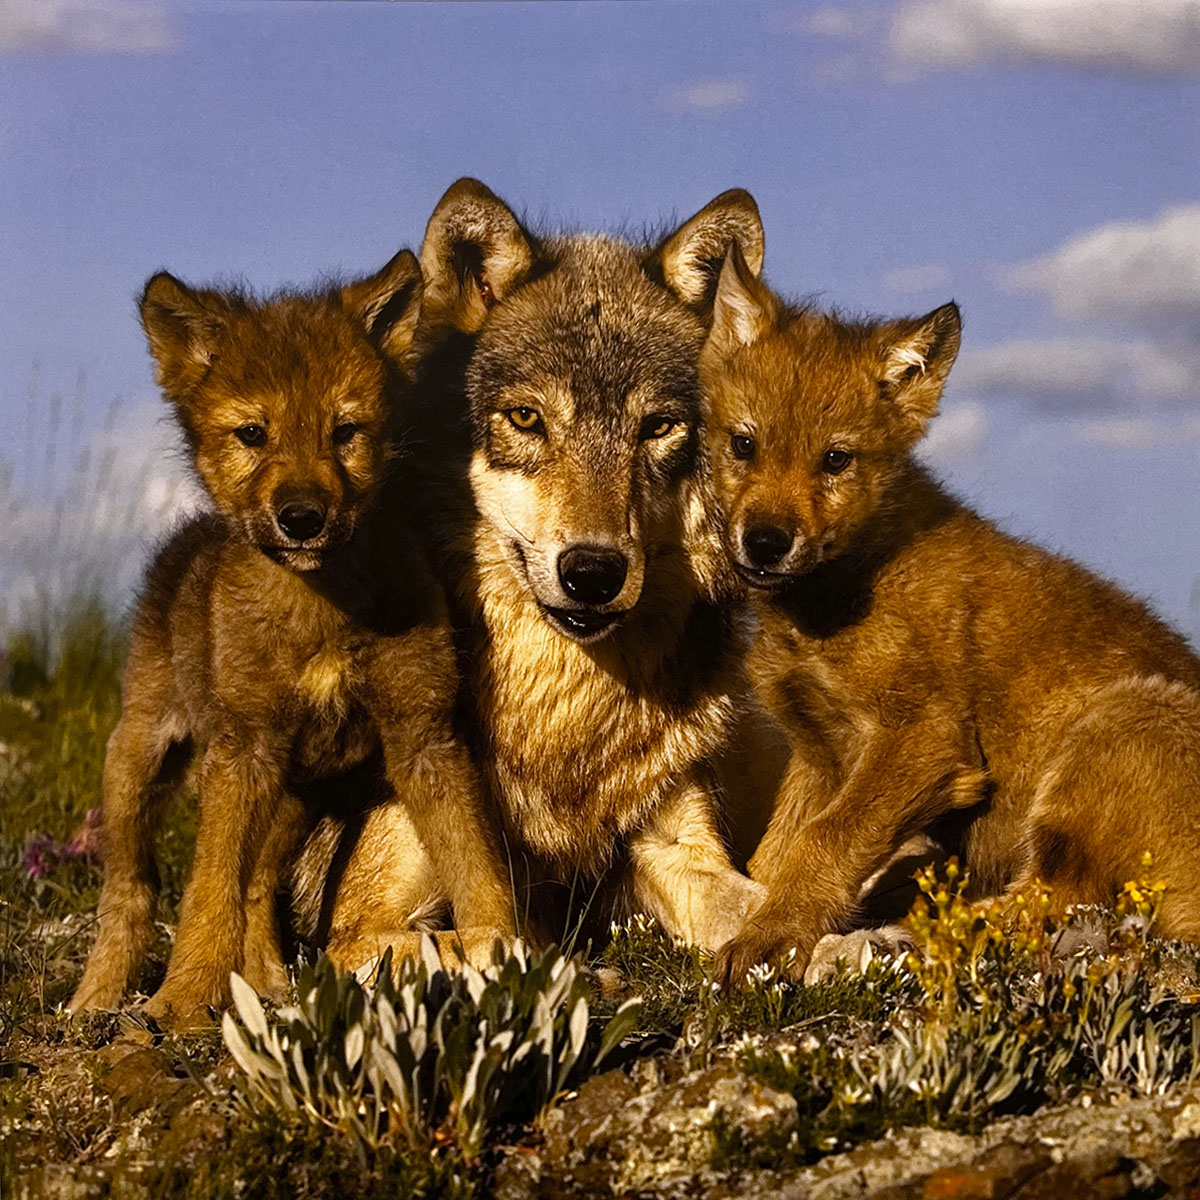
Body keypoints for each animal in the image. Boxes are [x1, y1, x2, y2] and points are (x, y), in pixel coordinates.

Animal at [69, 251, 514, 1026]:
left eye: (345, 431)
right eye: (254, 433)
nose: (302, 518)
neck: (321, 613)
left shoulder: (424, 734)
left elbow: (477, 869)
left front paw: (513, 955)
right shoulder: (242, 750)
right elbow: (206, 892)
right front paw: (183, 999)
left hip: (295, 797)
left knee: (255, 888)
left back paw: (269, 985)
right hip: (141, 761)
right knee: (131, 891)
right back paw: (96, 1002)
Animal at [318, 180, 771, 951]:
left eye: (658, 427)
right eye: (527, 418)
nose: (592, 573)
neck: (561, 716)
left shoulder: (674, 843)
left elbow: (769, 903)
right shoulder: (356, 928)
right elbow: (494, 937)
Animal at [701, 247, 1200, 984]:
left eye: (835, 460)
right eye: (743, 445)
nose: (765, 542)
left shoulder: (925, 738)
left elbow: (825, 842)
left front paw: (770, 938)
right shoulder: (817, 751)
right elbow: (773, 856)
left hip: (1120, 721)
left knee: (1056, 903)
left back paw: (905, 934)